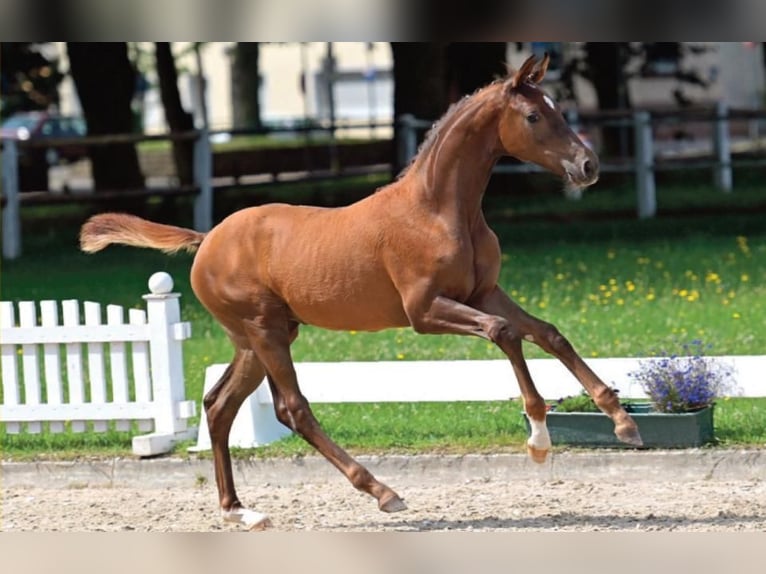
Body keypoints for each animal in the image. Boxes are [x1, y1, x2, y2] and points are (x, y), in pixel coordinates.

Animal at [82, 54, 640, 532]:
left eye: (558, 108)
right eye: (532, 115)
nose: (588, 166)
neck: (438, 209)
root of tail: (207, 239)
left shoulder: (484, 293)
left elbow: (548, 334)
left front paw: (621, 422)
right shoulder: (425, 312)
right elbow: (505, 334)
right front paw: (539, 439)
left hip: (260, 337)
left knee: (219, 406)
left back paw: (241, 511)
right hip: (265, 331)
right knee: (292, 408)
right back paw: (382, 492)